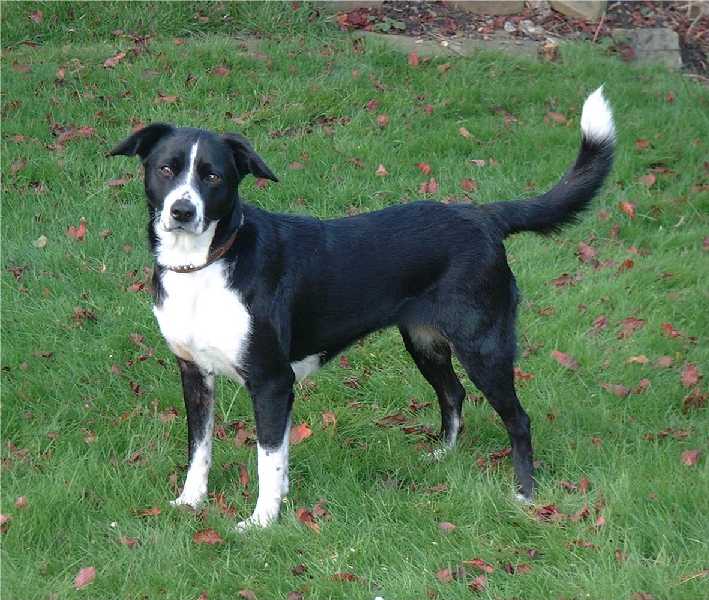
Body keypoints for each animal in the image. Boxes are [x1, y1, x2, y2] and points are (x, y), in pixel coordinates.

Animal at [110, 86, 612, 528]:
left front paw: (262, 522)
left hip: (483, 346)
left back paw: (525, 494)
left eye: (213, 176)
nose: (182, 211)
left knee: (517, 419)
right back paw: (443, 455)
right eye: (166, 169)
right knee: (453, 393)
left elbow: (267, 460)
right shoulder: (194, 372)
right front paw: (190, 502)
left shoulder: (272, 381)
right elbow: (200, 449)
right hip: (424, 340)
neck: (207, 265)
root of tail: (484, 215)